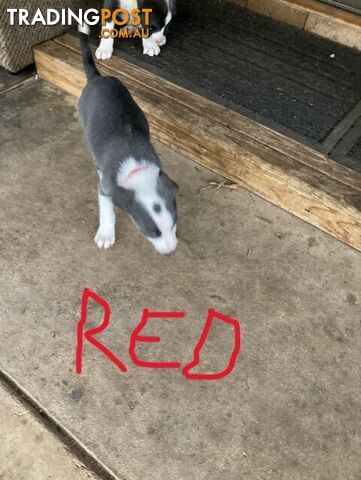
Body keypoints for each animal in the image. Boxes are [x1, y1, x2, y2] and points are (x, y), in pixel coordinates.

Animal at [78, 27, 178, 255]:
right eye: (152, 232)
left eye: (174, 224)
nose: (171, 251)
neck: (137, 168)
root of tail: (97, 79)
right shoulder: (106, 190)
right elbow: (107, 211)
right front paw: (106, 234)